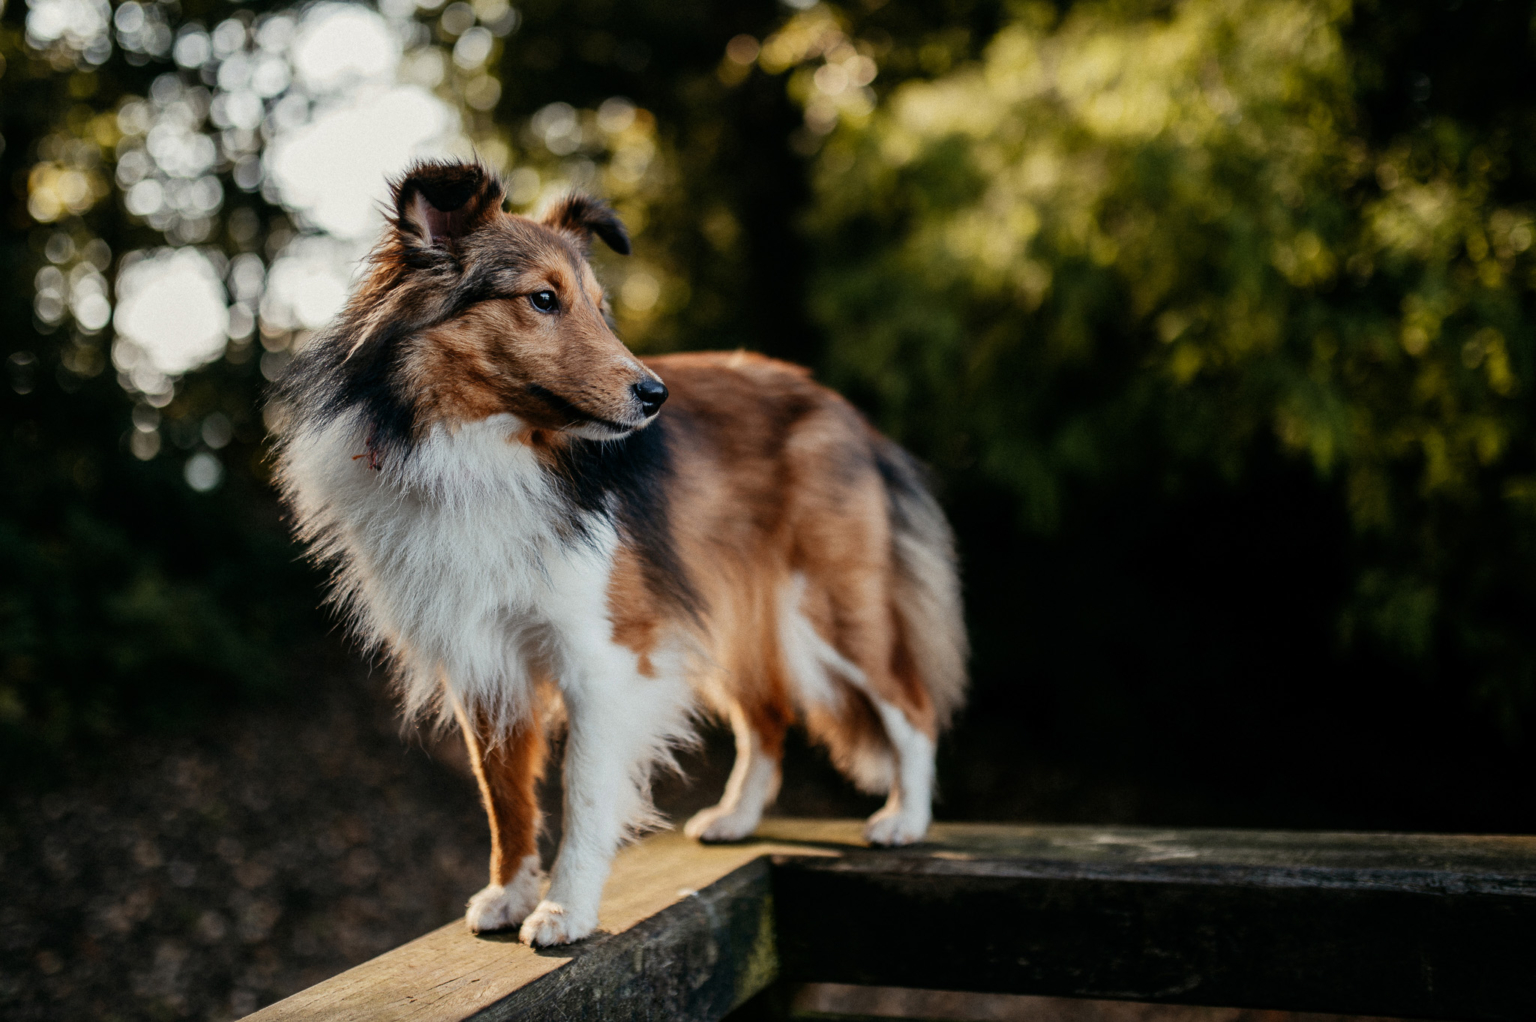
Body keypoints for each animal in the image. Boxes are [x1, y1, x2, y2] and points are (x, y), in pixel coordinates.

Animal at [271, 159, 964, 946]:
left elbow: (584, 790)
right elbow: (502, 791)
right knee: (767, 718)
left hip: (832, 606)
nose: (655, 396)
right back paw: (737, 818)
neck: (483, 453)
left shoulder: (602, 656)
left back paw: (904, 819)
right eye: (543, 299)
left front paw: (564, 910)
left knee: (910, 705)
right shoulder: (483, 658)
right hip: (729, 615)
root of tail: (843, 410)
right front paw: (509, 893)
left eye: (601, 309)